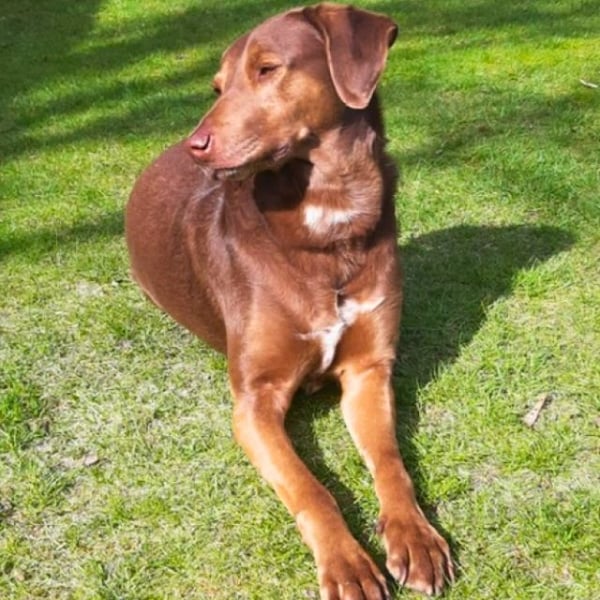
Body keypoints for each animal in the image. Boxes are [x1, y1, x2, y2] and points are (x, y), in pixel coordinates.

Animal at [126, 4, 453, 598]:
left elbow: (390, 460)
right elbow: (310, 489)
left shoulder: (369, 371)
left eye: (267, 69)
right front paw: (347, 563)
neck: (328, 219)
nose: (195, 146)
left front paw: (414, 534)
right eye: (217, 86)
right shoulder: (254, 402)